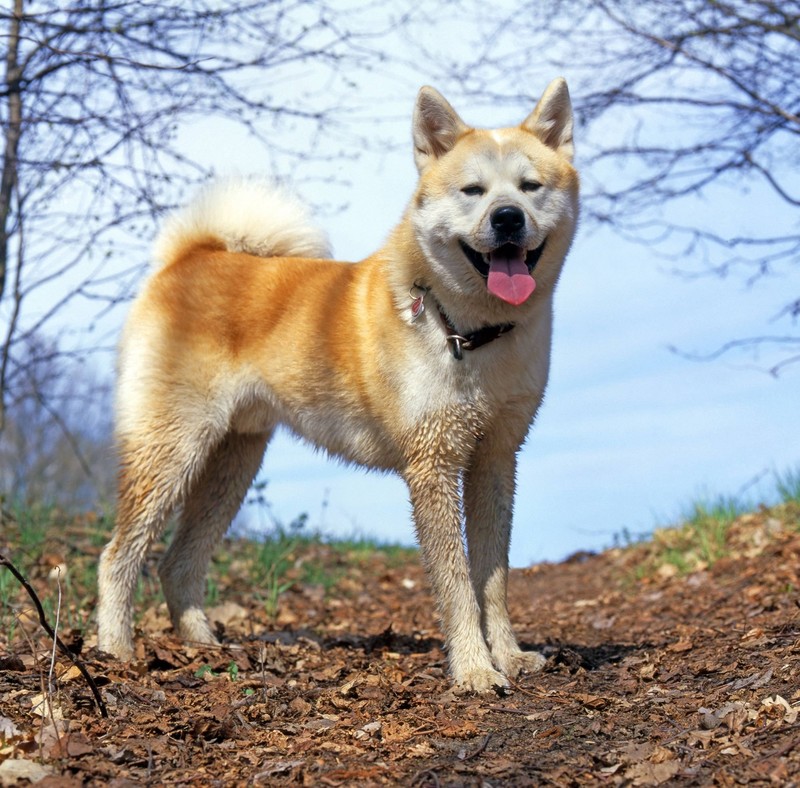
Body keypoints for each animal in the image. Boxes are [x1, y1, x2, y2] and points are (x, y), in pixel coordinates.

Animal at [95, 75, 580, 688]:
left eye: (529, 186)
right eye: (473, 191)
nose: (508, 218)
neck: (467, 331)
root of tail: (189, 258)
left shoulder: (495, 459)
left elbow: (493, 579)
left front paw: (510, 656)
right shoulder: (434, 463)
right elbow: (456, 586)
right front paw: (473, 670)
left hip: (232, 462)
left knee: (176, 562)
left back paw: (204, 646)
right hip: (171, 452)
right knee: (118, 556)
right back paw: (114, 651)